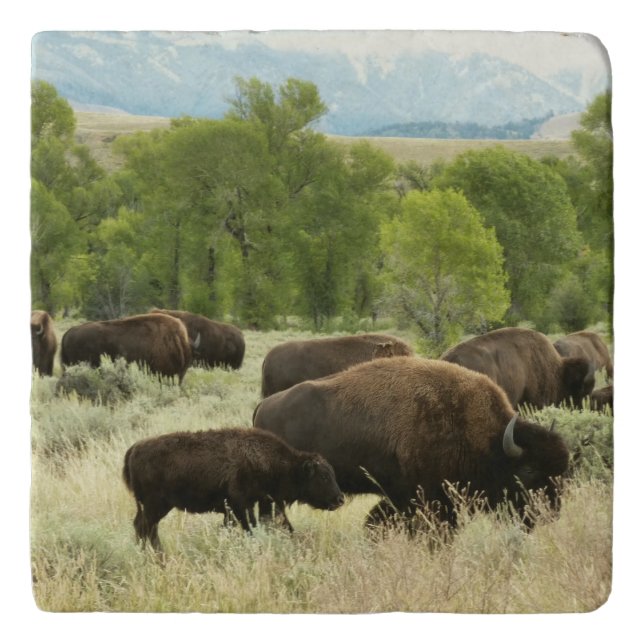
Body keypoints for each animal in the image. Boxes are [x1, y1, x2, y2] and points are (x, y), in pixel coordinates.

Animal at [122, 427, 344, 550]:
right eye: (324, 476)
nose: (340, 499)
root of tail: (135, 449)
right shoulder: (241, 505)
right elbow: (250, 528)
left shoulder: (244, 507)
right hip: (155, 506)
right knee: (145, 527)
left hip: (152, 507)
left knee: (144, 527)